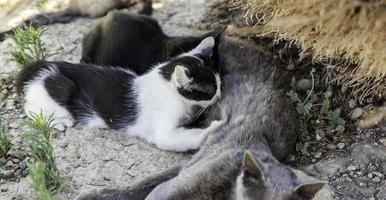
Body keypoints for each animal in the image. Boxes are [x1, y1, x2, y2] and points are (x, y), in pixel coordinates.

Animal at [18, 36, 222, 152]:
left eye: (219, 83)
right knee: (29, 106)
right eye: (209, 91)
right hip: (59, 88)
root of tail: (37, 66)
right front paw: (213, 129)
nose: (220, 95)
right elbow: (182, 137)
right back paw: (59, 121)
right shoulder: (162, 132)